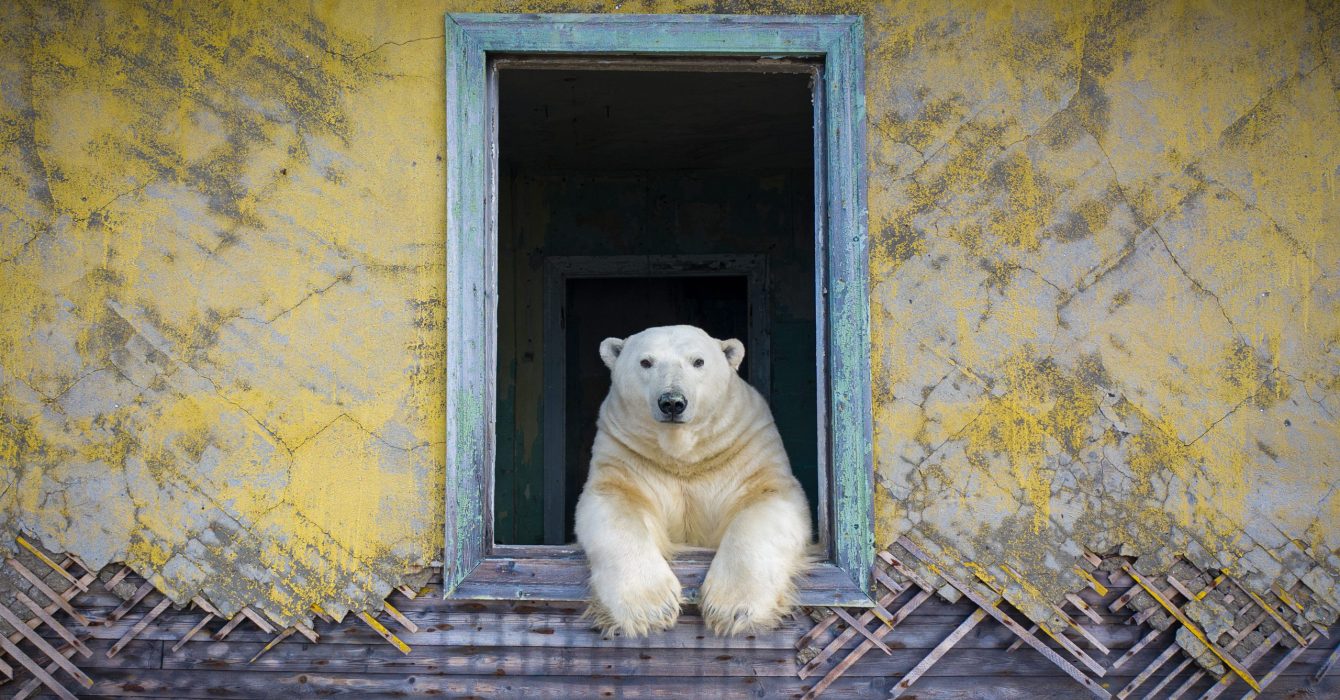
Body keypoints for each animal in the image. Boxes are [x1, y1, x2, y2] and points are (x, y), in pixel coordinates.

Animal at [573, 324, 809, 635]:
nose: (672, 402)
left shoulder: (746, 448)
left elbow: (766, 501)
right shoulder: (626, 455)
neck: (683, 457)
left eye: (698, 361)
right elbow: (615, 505)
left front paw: (732, 609)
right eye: (645, 362)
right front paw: (651, 609)